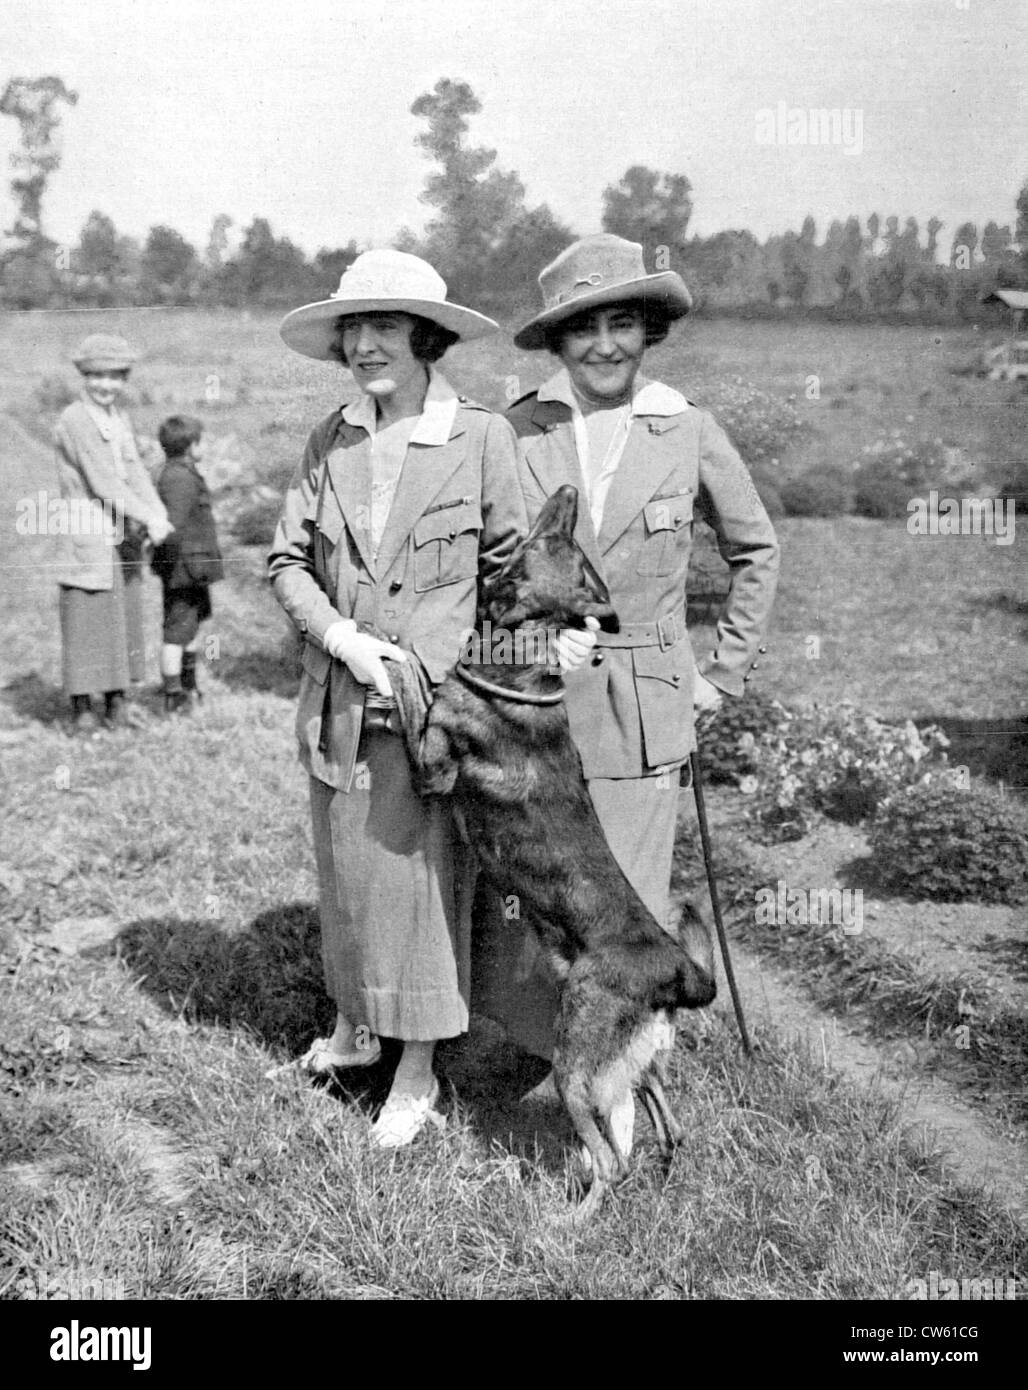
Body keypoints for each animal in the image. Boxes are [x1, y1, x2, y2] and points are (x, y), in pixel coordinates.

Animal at [388, 486, 716, 1217]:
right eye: (570, 543)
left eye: (547, 541)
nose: (567, 490)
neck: (524, 656)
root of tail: (674, 967)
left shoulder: (434, 768)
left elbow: (417, 690)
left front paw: (393, 657)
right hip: (629, 1061)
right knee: (667, 1125)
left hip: (576, 1064)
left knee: (613, 1160)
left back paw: (568, 1220)